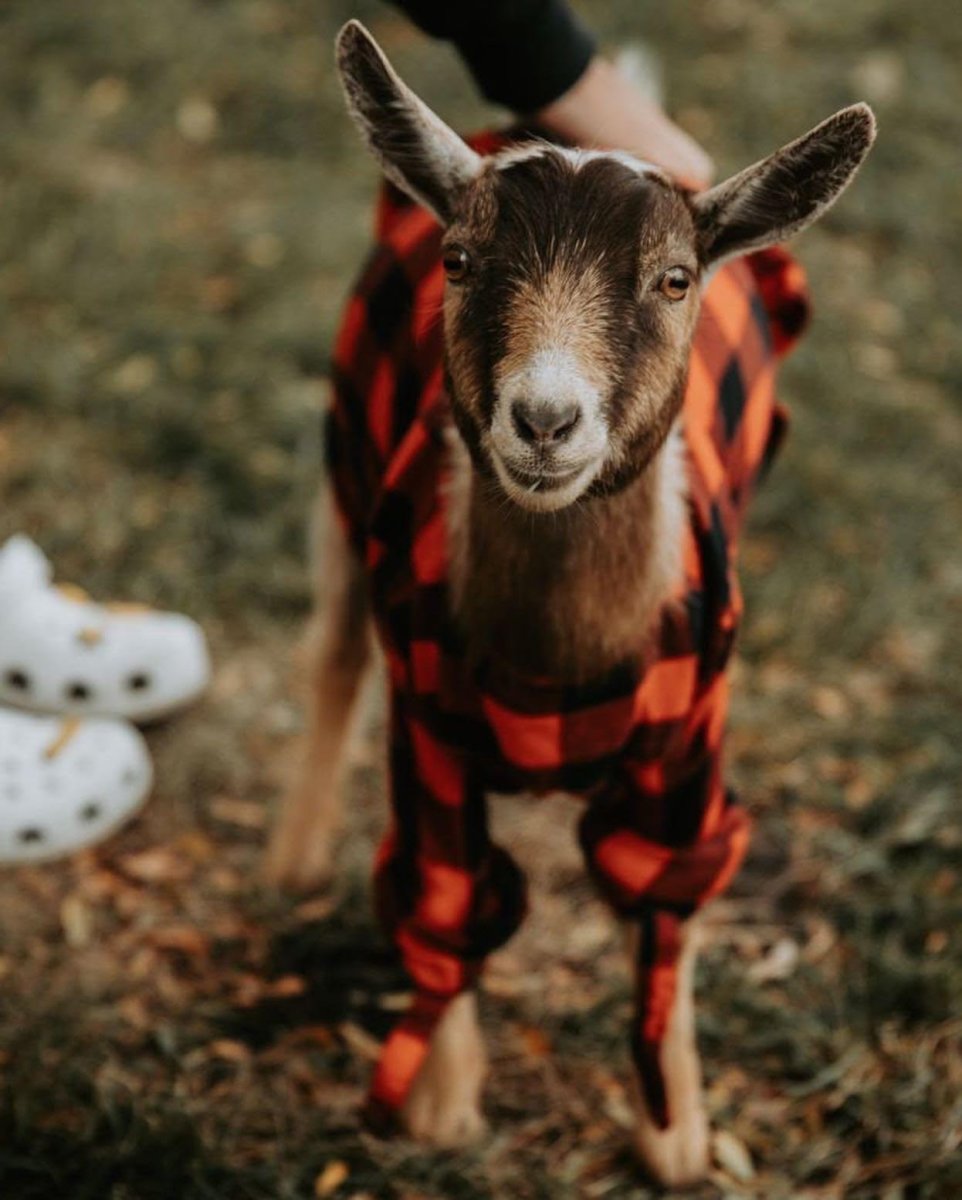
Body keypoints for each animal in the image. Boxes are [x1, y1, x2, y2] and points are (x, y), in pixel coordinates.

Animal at [266, 20, 875, 1187]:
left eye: (674, 279)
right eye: (458, 260)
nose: (545, 421)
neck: (555, 666)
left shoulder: (685, 751)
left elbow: (665, 904)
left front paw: (676, 1133)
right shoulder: (430, 741)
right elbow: (447, 898)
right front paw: (442, 1105)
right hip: (341, 457)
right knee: (331, 652)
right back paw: (294, 863)